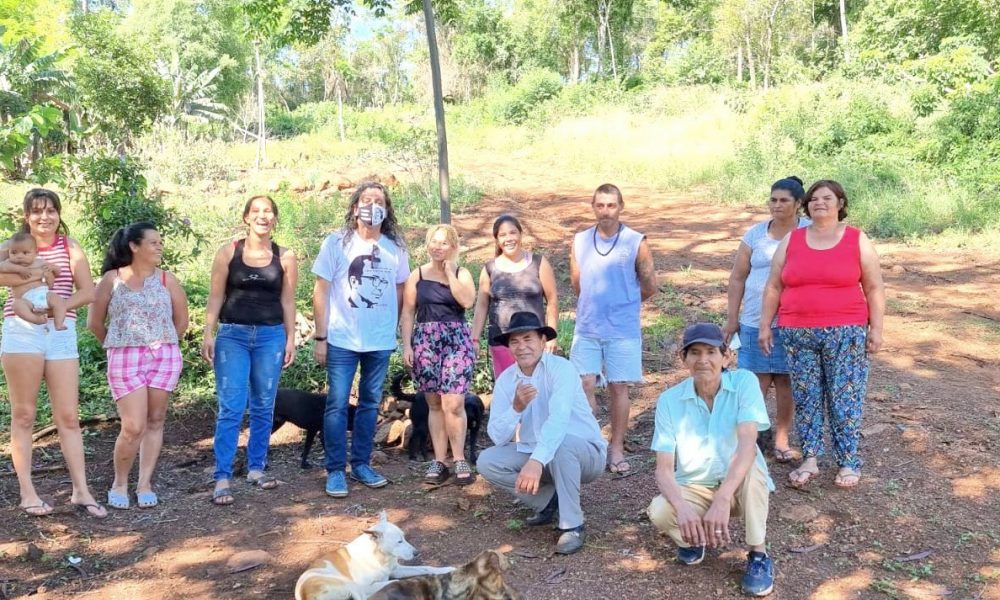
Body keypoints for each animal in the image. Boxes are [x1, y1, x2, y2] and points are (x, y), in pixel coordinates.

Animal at [294, 510, 456, 600]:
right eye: (399, 541)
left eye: (404, 538)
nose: (417, 553)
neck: (379, 556)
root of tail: (304, 593)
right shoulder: (368, 586)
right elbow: (393, 582)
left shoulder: (396, 570)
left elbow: (426, 567)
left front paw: (447, 569)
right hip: (350, 585)